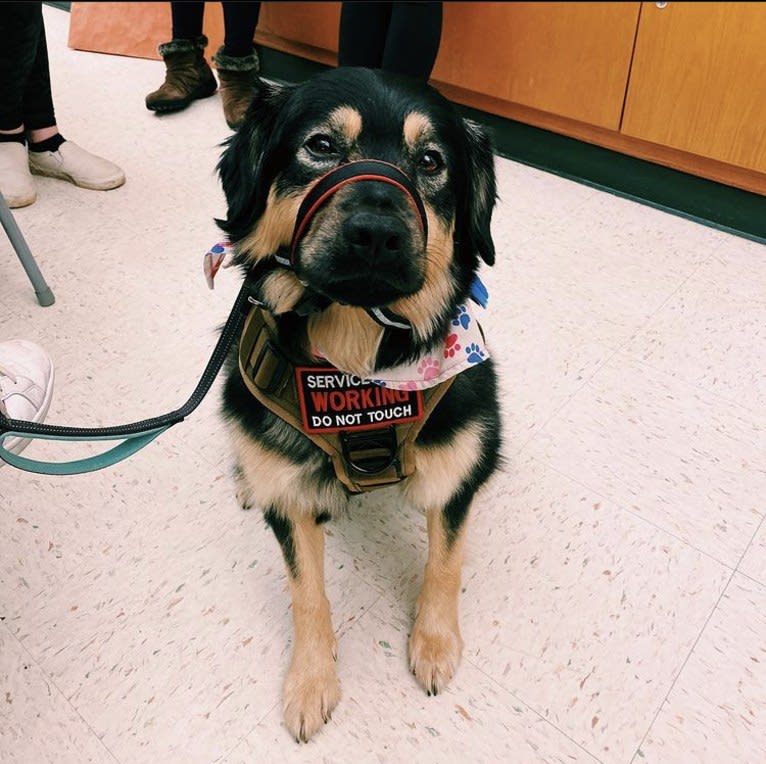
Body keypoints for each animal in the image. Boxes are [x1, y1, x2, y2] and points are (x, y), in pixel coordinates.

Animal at [216, 65, 504, 740]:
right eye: (320, 145)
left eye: (431, 161)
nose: (377, 234)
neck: (357, 362)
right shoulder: (289, 497)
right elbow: (305, 592)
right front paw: (310, 681)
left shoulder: (460, 458)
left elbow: (446, 561)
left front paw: (434, 644)